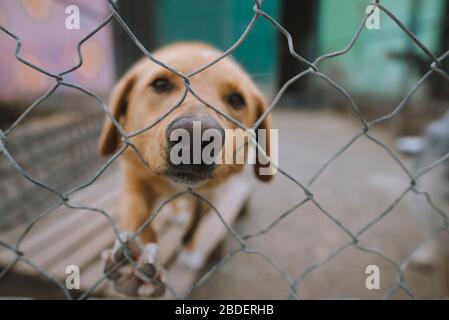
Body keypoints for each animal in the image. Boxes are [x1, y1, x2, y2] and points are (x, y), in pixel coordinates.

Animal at [97, 42, 272, 298]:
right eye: (160, 85)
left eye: (236, 99)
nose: (195, 135)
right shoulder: (133, 178)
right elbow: (137, 214)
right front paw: (135, 261)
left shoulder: (209, 196)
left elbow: (195, 223)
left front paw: (189, 250)